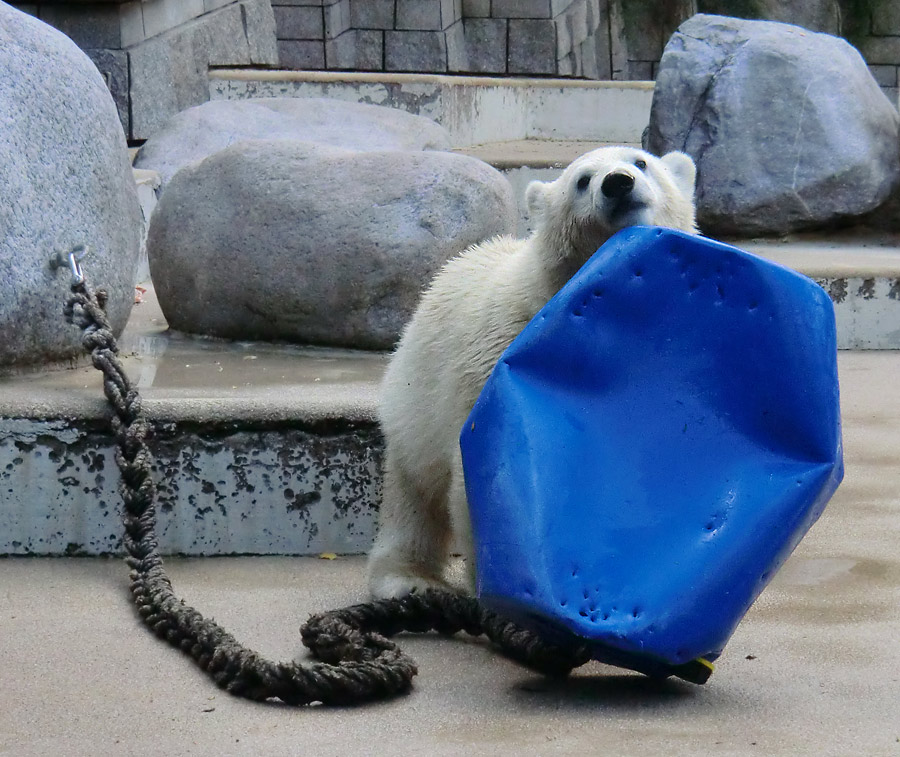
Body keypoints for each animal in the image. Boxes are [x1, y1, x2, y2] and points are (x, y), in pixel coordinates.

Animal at [370, 146, 700, 596]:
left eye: (641, 162)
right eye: (582, 179)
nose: (618, 182)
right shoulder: (498, 349)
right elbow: (484, 461)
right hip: (415, 396)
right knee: (415, 495)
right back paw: (409, 578)